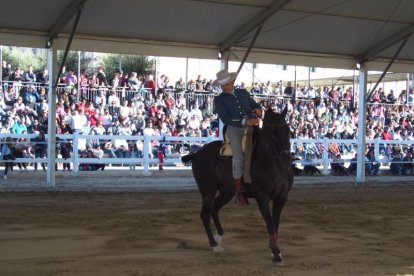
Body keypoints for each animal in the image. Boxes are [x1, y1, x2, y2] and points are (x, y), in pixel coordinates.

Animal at [182, 106, 294, 264]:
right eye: (272, 133)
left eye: (287, 130)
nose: (286, 159)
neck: (274, 165)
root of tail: (197, 154)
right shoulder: (262, 198)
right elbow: (270, 224)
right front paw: (276, 254)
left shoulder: (282, 198)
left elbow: (275, 224)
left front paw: (275, 251)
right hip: (208, 191)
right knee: (205, 214)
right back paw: (214, 245)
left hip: (227, 192)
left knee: (214, 209)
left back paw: (218, 237)